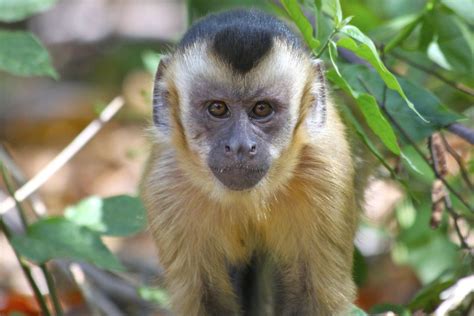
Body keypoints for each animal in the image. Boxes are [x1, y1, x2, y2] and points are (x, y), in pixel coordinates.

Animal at [143, 8, 362, 314]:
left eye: (261, 109)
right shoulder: (166, 186)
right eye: (217, 108)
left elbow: (313, 296)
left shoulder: (327, 174)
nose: (240, 146)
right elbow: (204, 298)